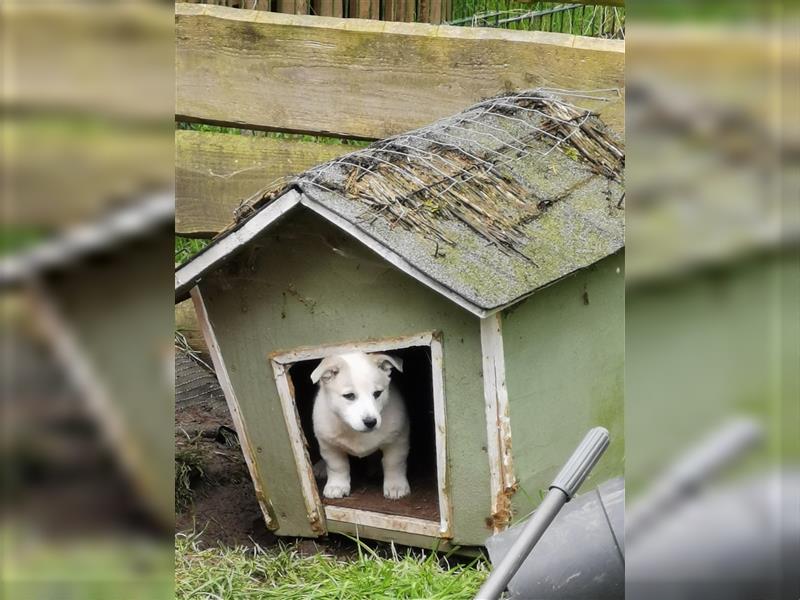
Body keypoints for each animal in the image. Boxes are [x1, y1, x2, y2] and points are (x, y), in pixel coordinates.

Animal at [312, 352, 412, 502]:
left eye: (377, 393)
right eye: (349, 396)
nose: (370, 422)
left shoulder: (398, 440)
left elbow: (393, 463)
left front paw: (396, 486)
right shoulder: (329, 445)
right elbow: (337, 466)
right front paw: (337, 486)